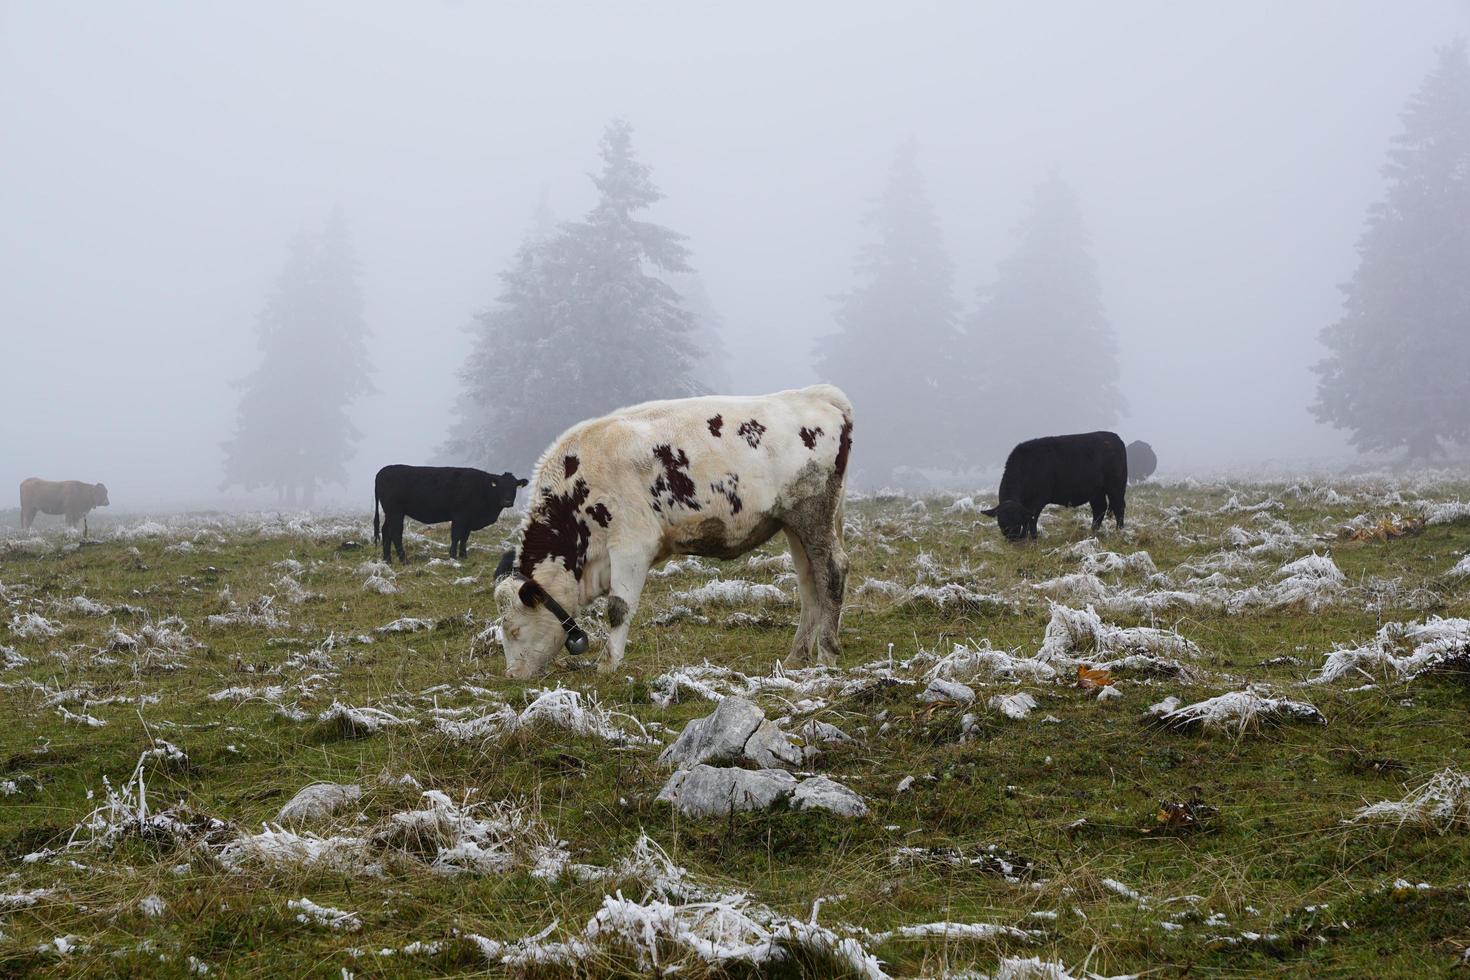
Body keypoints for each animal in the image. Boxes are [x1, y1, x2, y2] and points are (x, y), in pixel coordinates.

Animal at [373, 467, 529, 564]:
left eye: (514, 487)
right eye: (500, 486)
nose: (507, 501)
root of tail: (382, 471)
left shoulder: (469, 520)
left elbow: (464, 538)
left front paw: (464, 556)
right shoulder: (460, 516)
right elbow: (456, 536)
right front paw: (453, 556)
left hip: (390, 513)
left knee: (386, 531)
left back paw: (387, 560)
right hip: (395, 511)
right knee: (395, 533)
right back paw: (404, 560)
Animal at [499, 387, 858, 678]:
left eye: (514, 630)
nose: (512, 675)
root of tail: (816, 395)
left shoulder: (631, 544)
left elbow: (618, 608)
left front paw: (608, 664)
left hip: (813, 514)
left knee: (833, 569)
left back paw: (827, 653)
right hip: (793, 524)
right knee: (810, 582)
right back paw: (797, 656)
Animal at [981, 431, 1128, 543]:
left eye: (1017, 521)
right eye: (1001, 522)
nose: (1013, 540)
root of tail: (1114, 437)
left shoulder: (1038, 500)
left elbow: (1032, 519)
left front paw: (1033, 539)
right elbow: (1028, 519)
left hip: (1116, 486)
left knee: (1118, 507)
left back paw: (1119, 532)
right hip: (1096, 491)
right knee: (1099, 509)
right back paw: (1092, 532)